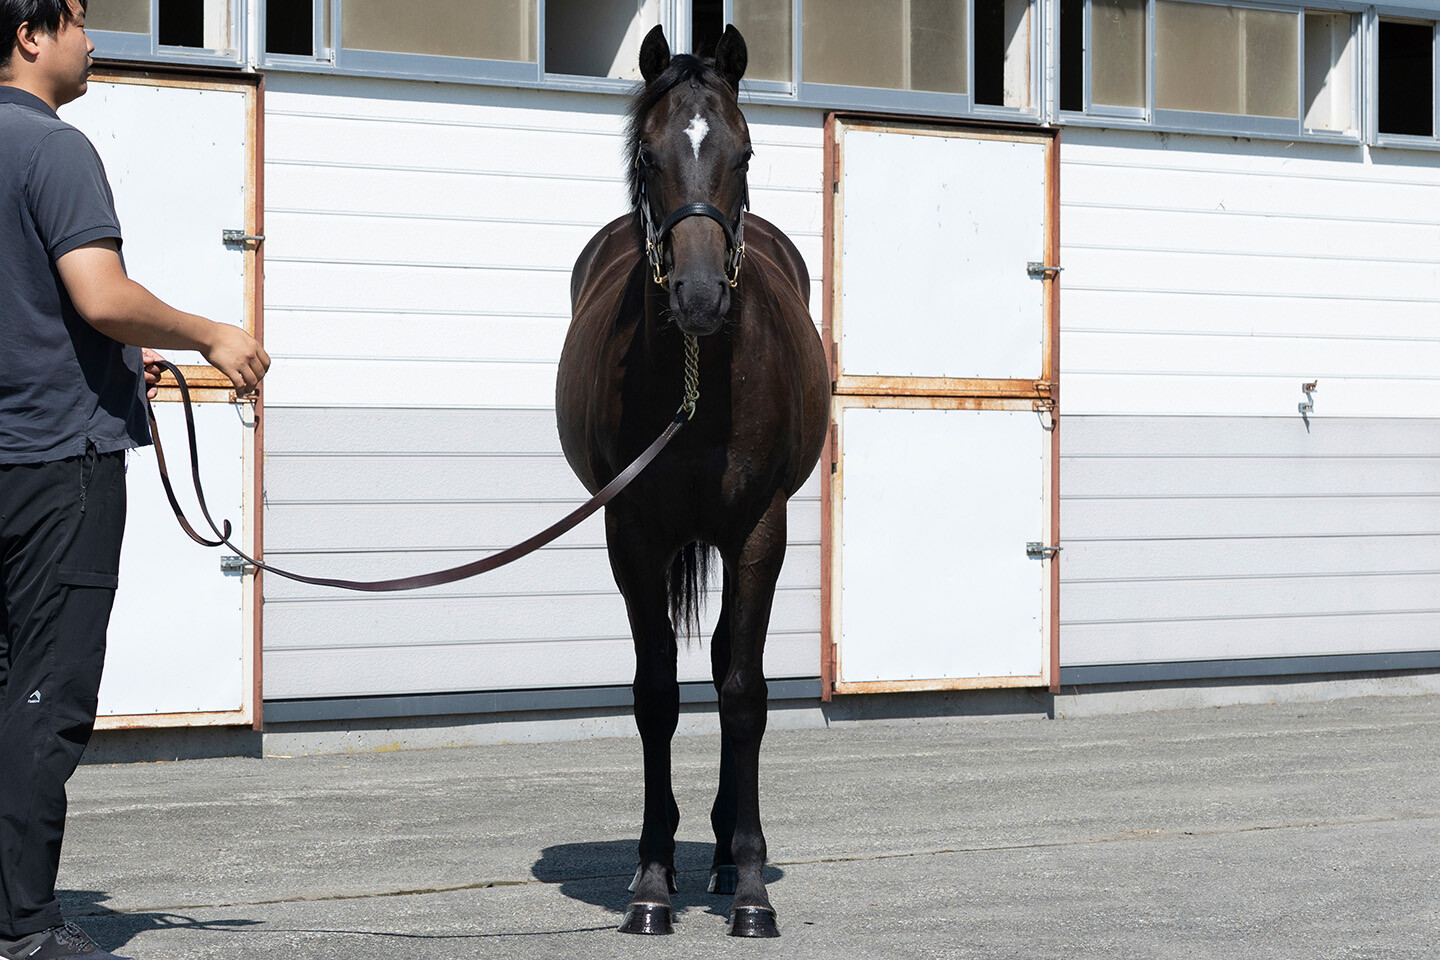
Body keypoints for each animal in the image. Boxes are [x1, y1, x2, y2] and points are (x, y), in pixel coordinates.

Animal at [555, 24, 830, 939]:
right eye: (649, 155)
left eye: (743, 153)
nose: (700, 295)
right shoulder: (633, 530)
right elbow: (656, 698)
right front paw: (649, 881)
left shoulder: (760, 527)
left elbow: (743, 694)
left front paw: (749, 890)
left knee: (723, 662)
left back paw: (715, 853)